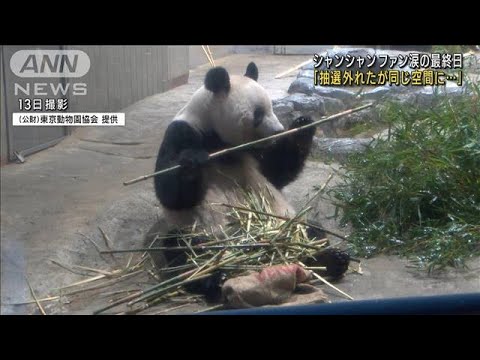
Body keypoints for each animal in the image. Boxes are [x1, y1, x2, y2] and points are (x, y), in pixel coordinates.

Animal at [144, 62, 328, 300]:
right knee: (185, 250)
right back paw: (214, 279)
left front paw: (303, 126)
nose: (278, 131)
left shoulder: (253, 152)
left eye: (271, 107)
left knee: (310, 230)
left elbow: (277, 171)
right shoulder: (182, 133)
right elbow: (171, 193)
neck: (217, 138)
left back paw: (331, 258)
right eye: (258, 113)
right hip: (199, 229)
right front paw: (192, 161)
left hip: (287, 221)